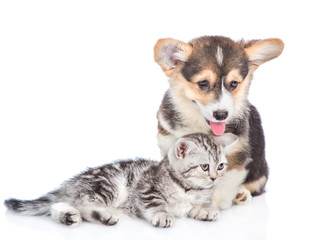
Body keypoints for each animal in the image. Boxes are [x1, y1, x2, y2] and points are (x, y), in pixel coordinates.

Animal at [3, 132, 237, 228]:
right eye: (204, 166)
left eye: (221, 166)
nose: (215, 177)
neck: (188, 188)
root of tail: (72, 182)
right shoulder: (145, 187)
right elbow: (156, 204)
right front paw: (162, 215)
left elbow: (197, 206)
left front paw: (206, 210)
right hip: (109, 185)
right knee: (84, 203)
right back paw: (103, 216)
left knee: (60, 205)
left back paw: (68, 216)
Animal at [154, 34, 284, 209]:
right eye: (203, 83)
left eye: (234, 83)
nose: (221, 114)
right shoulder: (169, 141)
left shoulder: (237, 150)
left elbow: (224, 178)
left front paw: (214, 202)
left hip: (260, 172)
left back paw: (241, 195)